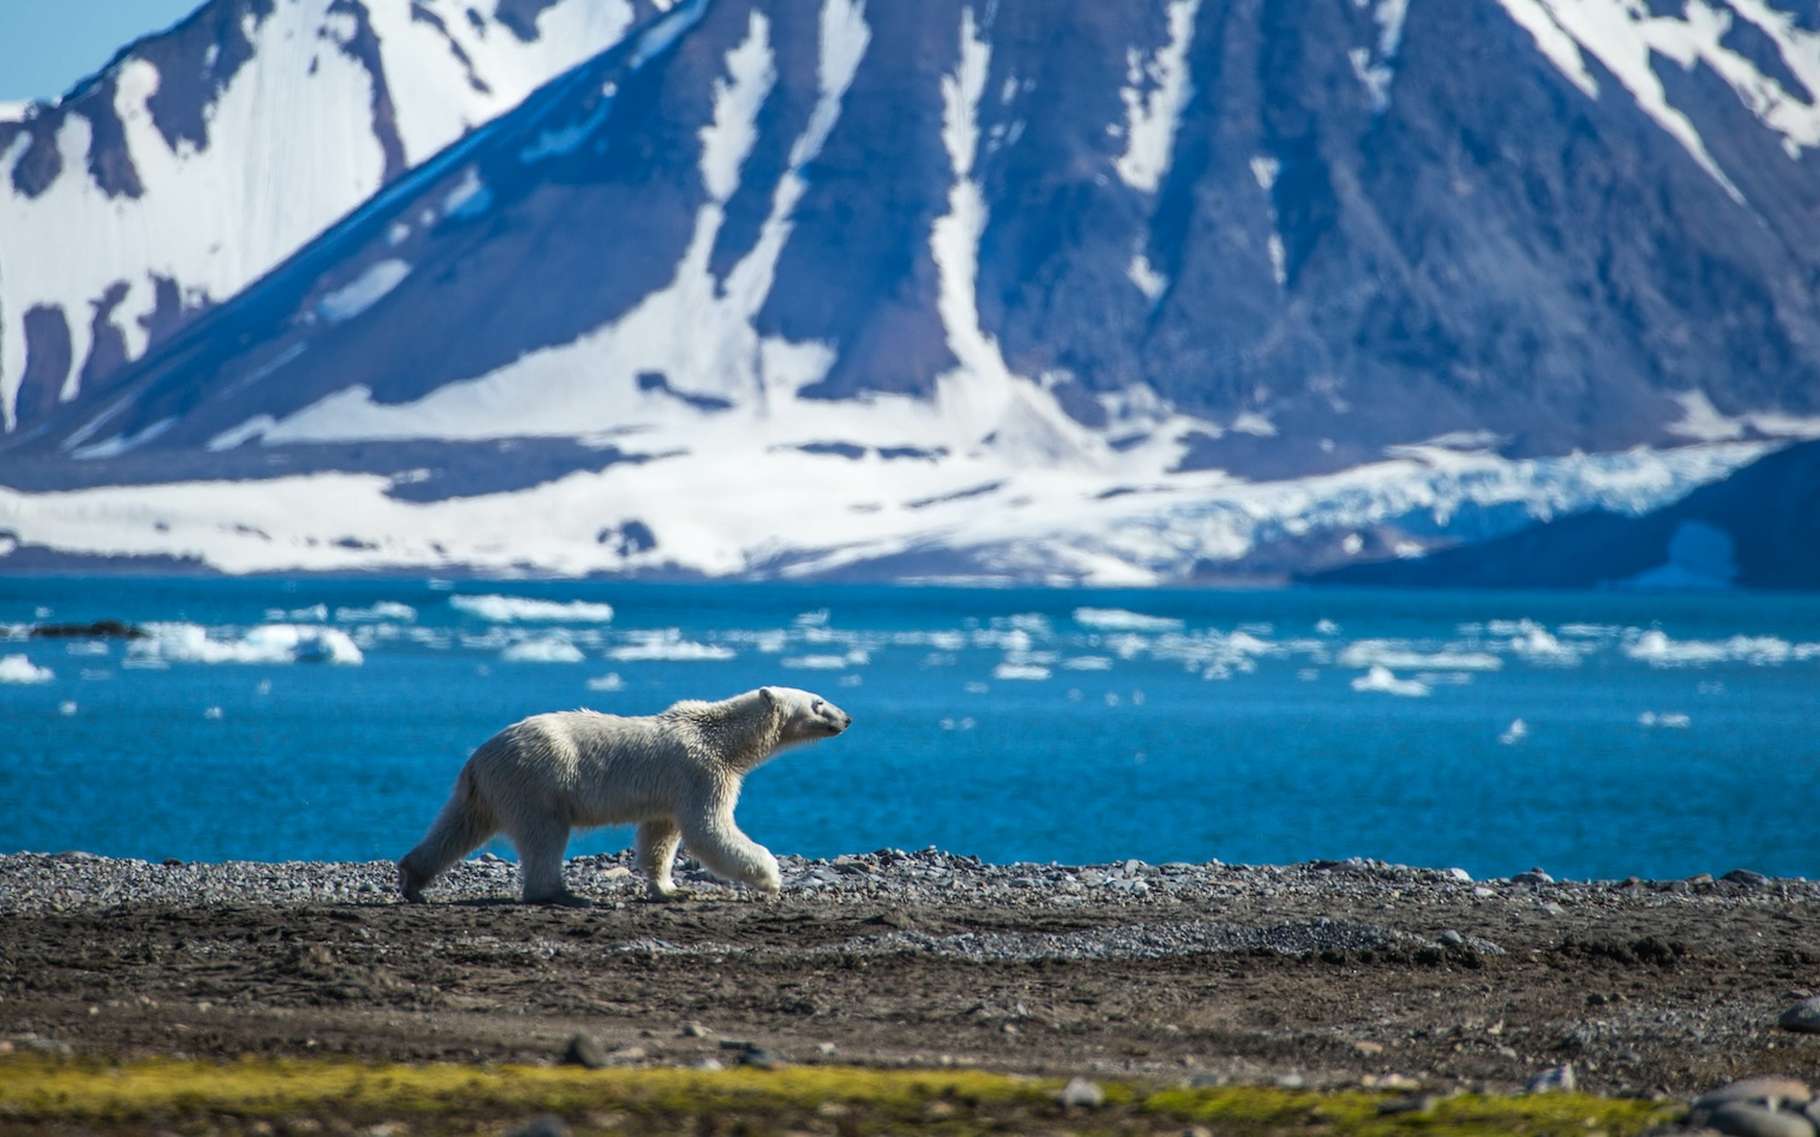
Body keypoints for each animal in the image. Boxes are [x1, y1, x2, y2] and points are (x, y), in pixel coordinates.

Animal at [398, 687, 851, 898]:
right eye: (818, 701)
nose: (846, 718)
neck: (721, 738)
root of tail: (478, 756)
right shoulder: (701, 772)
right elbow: (710, 829)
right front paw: (771, 877)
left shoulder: (671, 791)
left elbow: (660, 836)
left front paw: (669, 888)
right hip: (537, 779)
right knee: (544, 835)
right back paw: (558, 893)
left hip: (487, 790)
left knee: (458, 827)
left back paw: (412, 877)